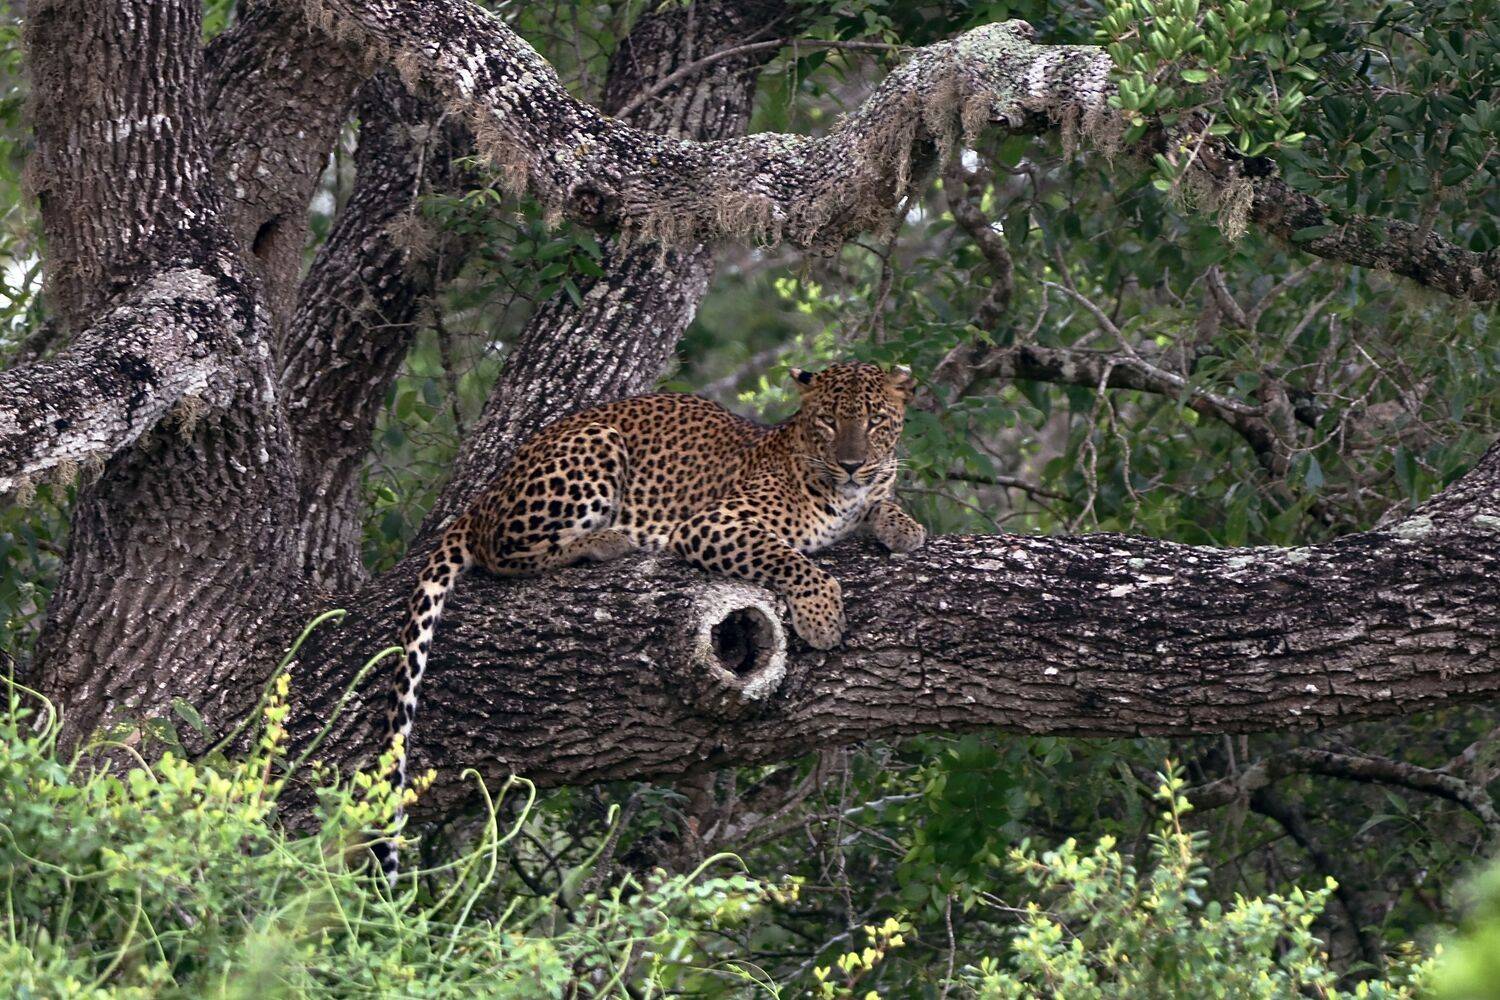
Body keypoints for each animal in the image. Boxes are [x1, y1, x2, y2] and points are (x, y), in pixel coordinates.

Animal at [374, 360, 925, 880]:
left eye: (875, 422)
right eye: (828, 422)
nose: (851, 465)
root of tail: (483, 496)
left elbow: (885, 503)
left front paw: (905, 527)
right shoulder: (713, 524)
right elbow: (787, 556)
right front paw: (822, 614)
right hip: (593, 448)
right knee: (501, 550)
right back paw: (605, 540)